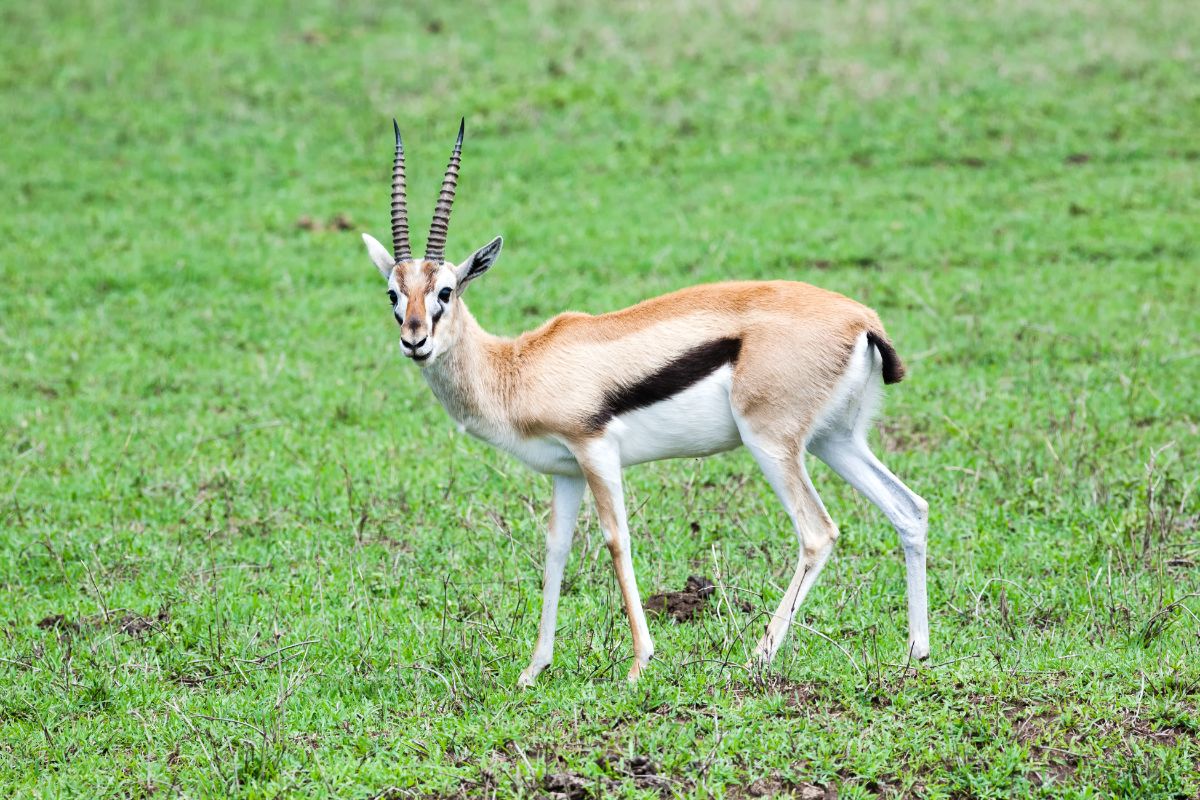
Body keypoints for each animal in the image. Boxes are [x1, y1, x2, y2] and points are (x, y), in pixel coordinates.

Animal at [360, 120, 930, 685]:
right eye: (393, 294)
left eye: (446, 292)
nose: (415, 341)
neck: (516, 367)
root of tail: (862, 320)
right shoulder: (566, 472)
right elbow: (556, 549)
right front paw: (533, 669)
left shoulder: (596, 452)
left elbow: (616, 540)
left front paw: (639, 663)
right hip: (835, 440)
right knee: (910, 508)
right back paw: (916, 653)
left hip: (772, 443)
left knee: (818, 532)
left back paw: (758, 658)